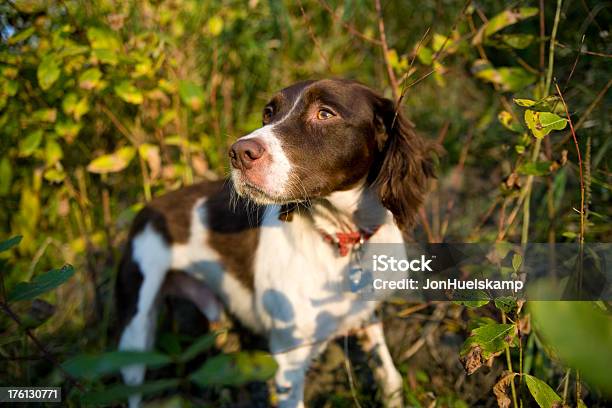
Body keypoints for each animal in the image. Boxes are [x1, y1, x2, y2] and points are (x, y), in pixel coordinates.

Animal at [117, 79, 432, 408]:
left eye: (325, 113)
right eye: (268, 113)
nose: (238, 153)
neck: (340, 238)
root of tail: (147, 207)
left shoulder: (364, 313)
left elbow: (390, 378)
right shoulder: (288, 363)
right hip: (135, 329)